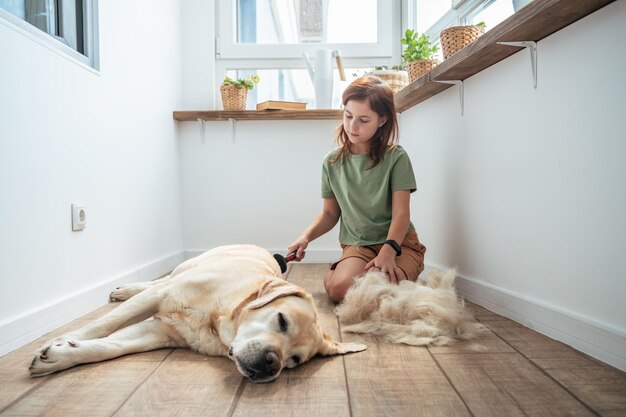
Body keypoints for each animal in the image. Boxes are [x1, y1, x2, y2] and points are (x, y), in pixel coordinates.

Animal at [29, 244, 364, 384]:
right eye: (282, 321)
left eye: (294, 361)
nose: (272, 364)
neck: (218, 316)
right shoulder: (162, 297)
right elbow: (104, 324)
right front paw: (63, 338)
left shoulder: (157, 333)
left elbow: (107, 347)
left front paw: (60, 355)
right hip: (184, 269)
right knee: (157, 281)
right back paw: (125, 289)